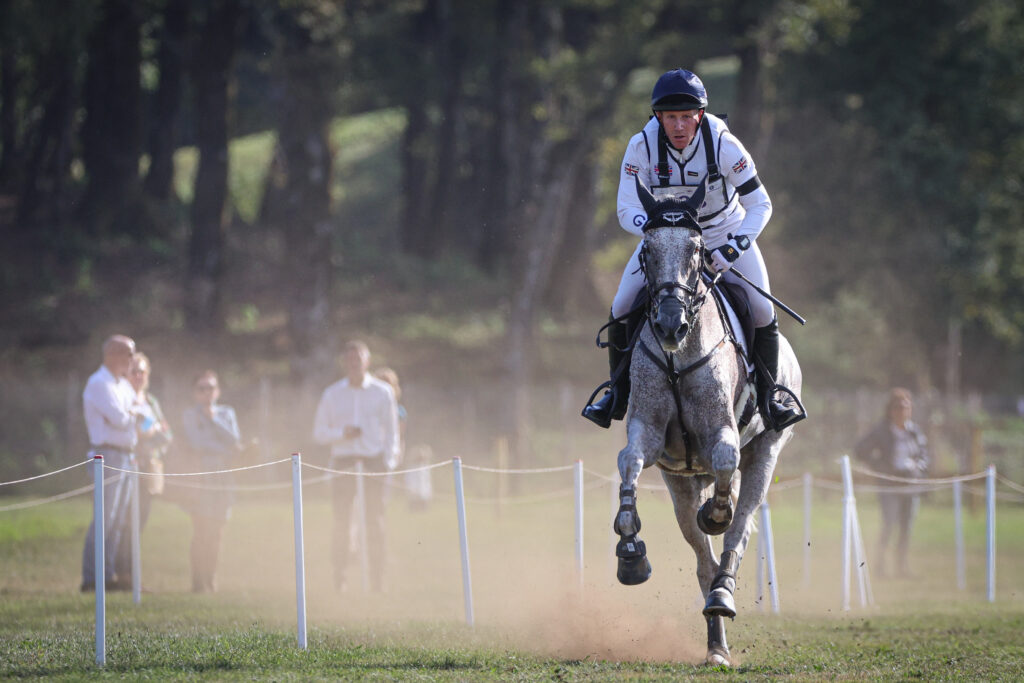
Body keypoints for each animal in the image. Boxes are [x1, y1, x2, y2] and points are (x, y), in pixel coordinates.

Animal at [611, 176, 802, 666]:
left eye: (697, 248)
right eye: (647, 249)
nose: (669, 325)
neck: (679, 358)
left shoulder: (722, 434)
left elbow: (725, 462)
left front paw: (716, 513)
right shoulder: (650, 437)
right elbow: (629, 464)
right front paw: (629, 552)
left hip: (767, 454)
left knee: (739, 528)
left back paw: (723, 594)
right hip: (680, 480)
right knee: (703, 562)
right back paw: (715, 641)